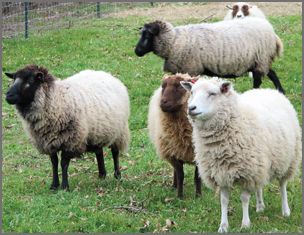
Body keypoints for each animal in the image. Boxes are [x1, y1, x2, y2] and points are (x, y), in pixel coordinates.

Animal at [135, 17, 284, 93]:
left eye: (147, 35)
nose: (137, 51)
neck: (174, 42)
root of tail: (271, 31)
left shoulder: (191, 69)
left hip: (260, 59)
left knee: (259, 80)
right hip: (260, 61)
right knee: (272, 74)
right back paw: (281, 91)